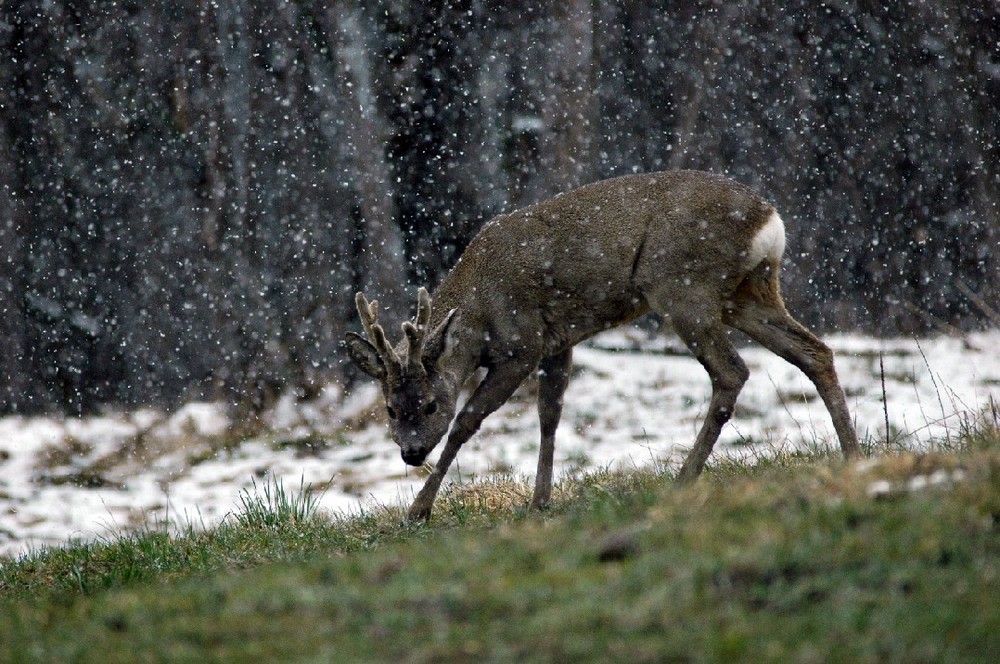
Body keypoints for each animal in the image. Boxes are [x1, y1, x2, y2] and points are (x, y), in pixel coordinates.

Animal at [344, 169, 860, 520]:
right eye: (390, 408)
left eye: (430, 405)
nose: (410, 452)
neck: (480, 309)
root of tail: (769, 221)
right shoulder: (557, 342)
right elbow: (549, 416)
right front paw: (540, 501)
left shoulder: (522, 344)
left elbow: (468, 421)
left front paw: (418, 511)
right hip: (746, 293)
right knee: (815, 351)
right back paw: (853, 455)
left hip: (681, 286)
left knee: (732, 371)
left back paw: (682, 480)